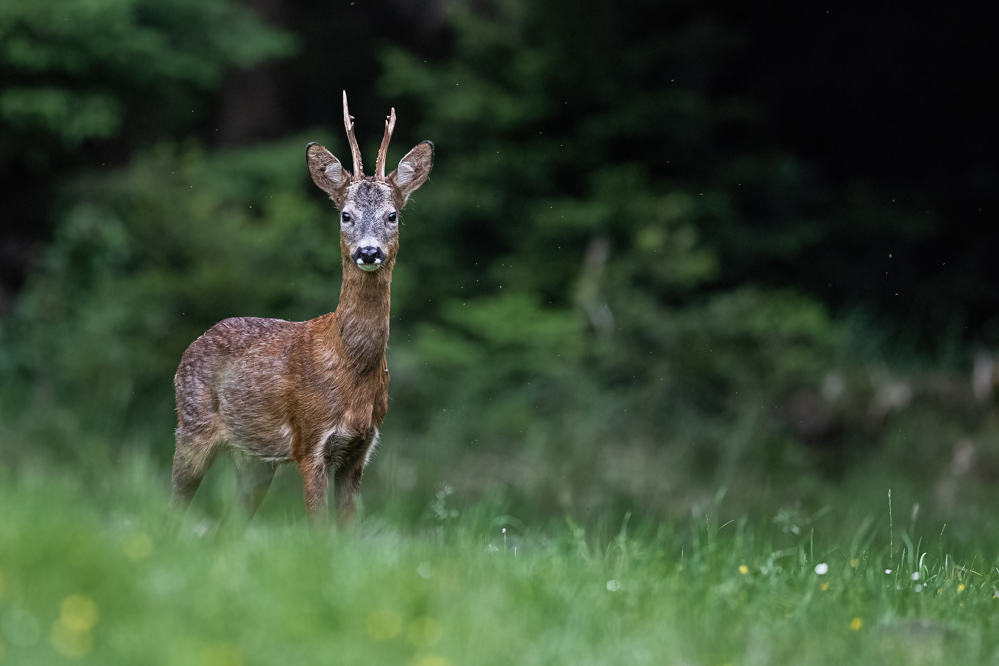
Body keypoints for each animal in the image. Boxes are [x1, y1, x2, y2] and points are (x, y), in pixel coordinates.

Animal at [171, 89, 434, 524]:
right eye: (345, 215)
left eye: (392, 215)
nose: (368, 252)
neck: (349, 364)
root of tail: (194, 343)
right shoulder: (309, 440)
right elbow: (319, 528)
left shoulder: (360, 448)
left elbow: (349, 528)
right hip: (191, 425)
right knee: (172, 507)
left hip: (253, 461)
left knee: (231, 522)